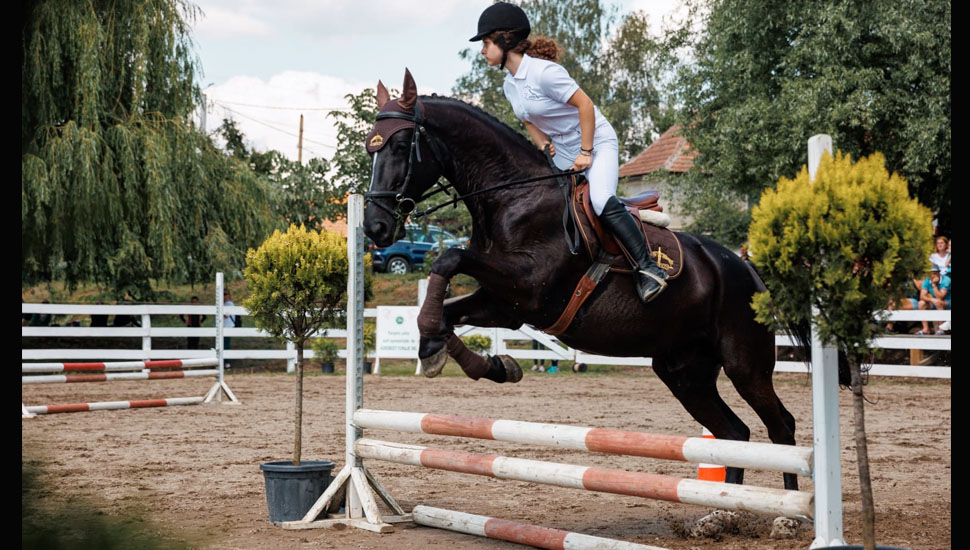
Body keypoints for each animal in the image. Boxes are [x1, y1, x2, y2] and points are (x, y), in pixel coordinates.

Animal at [364, 71, 800, 494]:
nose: (375, 227)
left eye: (400, 145)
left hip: (745, 364)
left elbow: (448, 258)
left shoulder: (528, 285)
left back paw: (788, 507)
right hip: (684, 370)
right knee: (733, 433)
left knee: (781, 427)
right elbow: (448, 313)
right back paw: (727, 509)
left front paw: (451, 352)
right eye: (371, 150)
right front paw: (478, 361)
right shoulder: (504, 305)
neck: (514, 198)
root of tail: (747, 269)